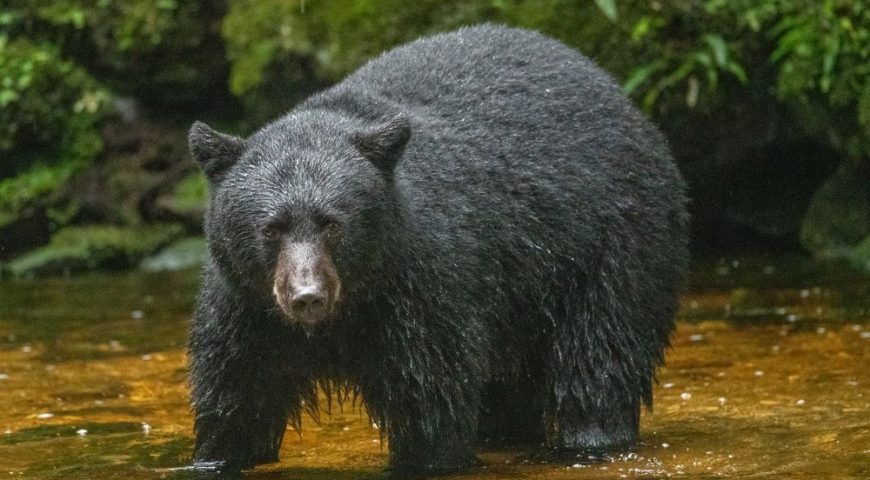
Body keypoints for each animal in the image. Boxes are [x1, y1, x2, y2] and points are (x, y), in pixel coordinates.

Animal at [187, 24, 692, 474]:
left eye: (332, 224)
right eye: (272, 228)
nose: (307, 296)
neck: (346, 312)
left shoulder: (422, 289)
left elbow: (431, 401)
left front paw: (428, 455)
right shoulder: (246, 311)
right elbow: (235, 400)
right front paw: (218, 455)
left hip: (611, 246)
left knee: (600, 358)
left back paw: (591, 438)